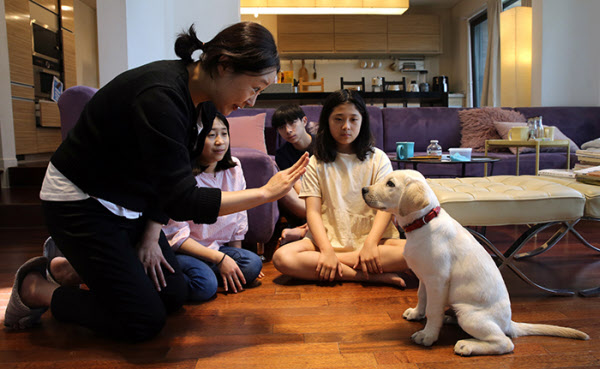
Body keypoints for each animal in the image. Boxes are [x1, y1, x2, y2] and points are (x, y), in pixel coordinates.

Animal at [364, 170, 588, 356]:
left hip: (469, 314)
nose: (364, 190)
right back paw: (449, 319)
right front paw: (416, 314)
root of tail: (508, 322)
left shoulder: (438, 281)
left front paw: (428, 335)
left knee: (504, 343)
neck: (424, 223)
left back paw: (467, 345)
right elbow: (422, 297)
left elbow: (433, 310)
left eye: (390, 183)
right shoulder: (425, 277)